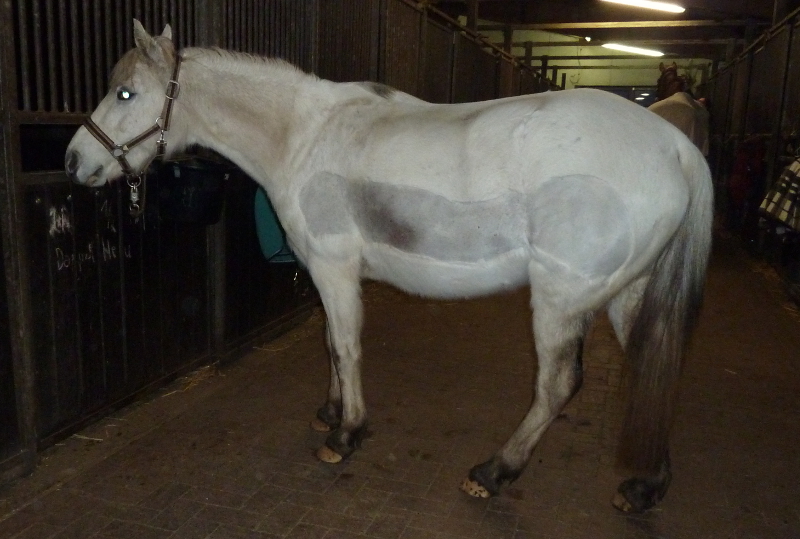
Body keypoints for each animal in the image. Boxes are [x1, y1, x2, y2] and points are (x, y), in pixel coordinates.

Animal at [65, 21, 713, 513]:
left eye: (125, 93)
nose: (74, 160)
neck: (303, 136)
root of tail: (677, 149)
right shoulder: (325, 274)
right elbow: (330, 343)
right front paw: (330, 412)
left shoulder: (333, 267)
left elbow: (347, 344)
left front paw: (346, 433)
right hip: (626, 295)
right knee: (657, 369)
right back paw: (646, 485)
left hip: (560, 300)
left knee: (555, 386)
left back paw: (494, 472)